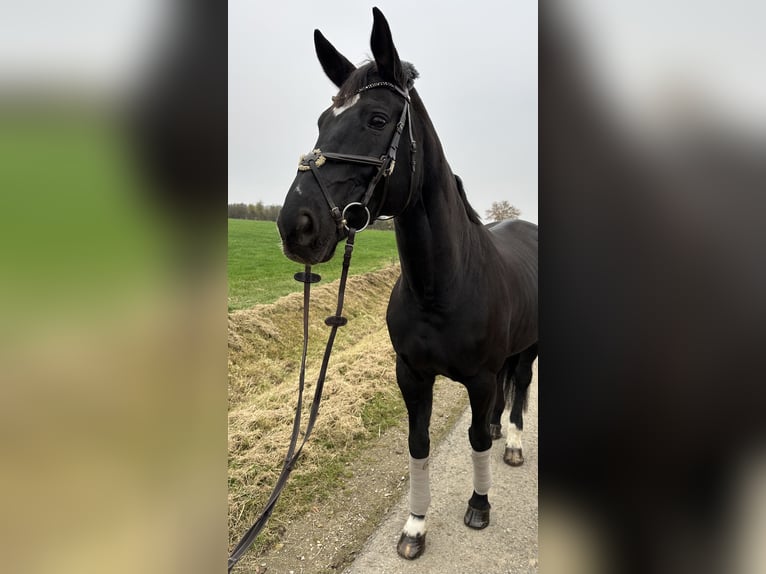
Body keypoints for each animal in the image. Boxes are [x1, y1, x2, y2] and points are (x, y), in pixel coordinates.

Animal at [278, 6, 540, 560]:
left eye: (377, 120)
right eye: (322, 122)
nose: (297, 226)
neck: (441, 289)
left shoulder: (480, 378)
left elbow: (475, 440)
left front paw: (479, 506)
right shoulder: (411, 375)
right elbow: (418, 445)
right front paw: (416, 525)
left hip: (528, 349)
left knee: (520, 389)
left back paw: (511, 443)